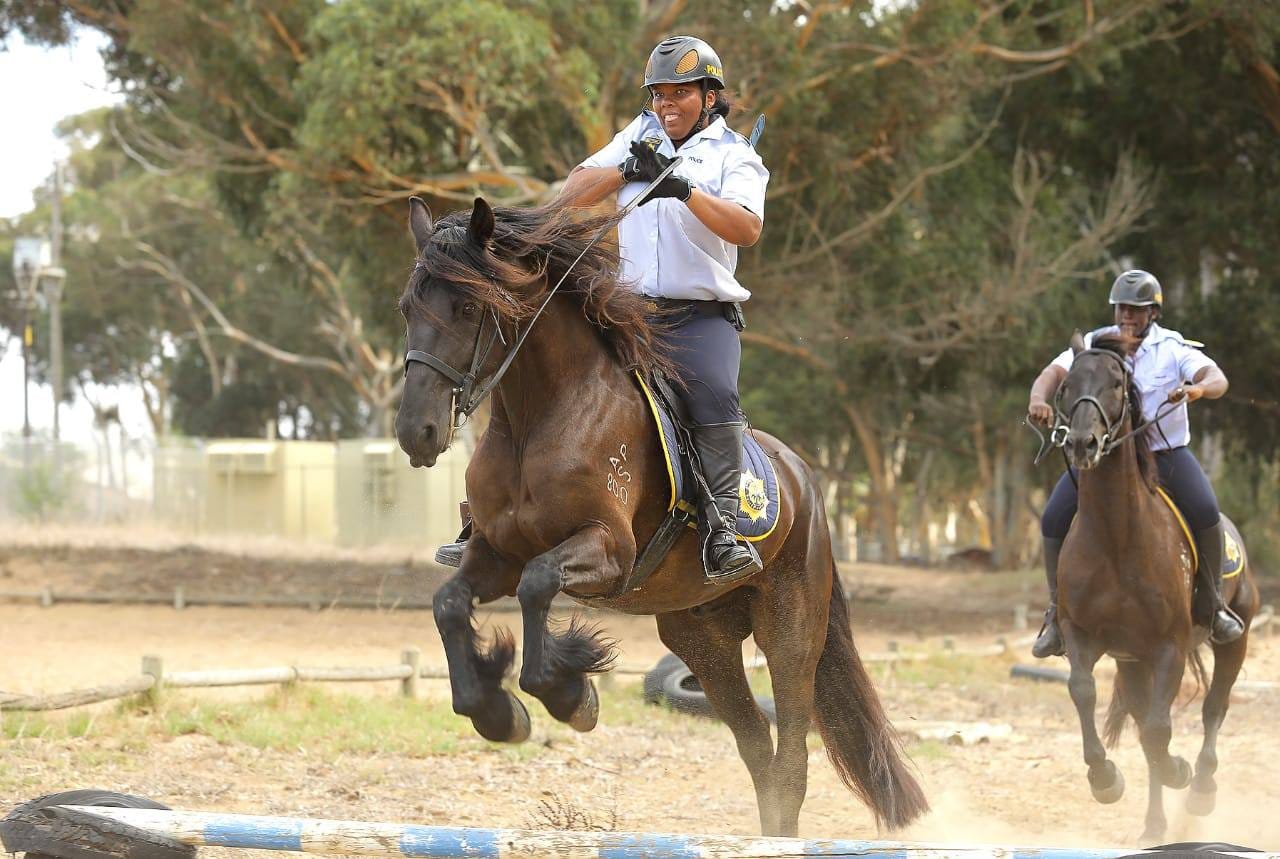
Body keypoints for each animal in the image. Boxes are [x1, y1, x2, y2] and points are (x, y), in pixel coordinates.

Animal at [394, 198, 926, 834]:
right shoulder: (495, 553)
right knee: (759, 751)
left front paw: (571, 695)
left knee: (792, 754)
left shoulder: (608, 550)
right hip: (704, 641)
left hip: (791, 630)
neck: (540, 418)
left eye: (471, 306)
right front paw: (497, 712)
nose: (417, 432)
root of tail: (806, 482)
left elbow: (538, 584)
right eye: (407, 307)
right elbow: (449, 603)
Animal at [1049, 332, 1259, 844]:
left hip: (1235, 639)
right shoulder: (1083, 635)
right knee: (1149, 726)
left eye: (1116, 384)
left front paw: (1180, 771)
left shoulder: (1170, 647)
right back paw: (1155, 825)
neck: (1116, 537)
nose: (1082, 443)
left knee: (1214, 708)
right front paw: (1105, 779)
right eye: (1066, 387)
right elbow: (1085, 693)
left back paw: (1200, 789)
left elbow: (1161, 730)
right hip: (1131, 663)